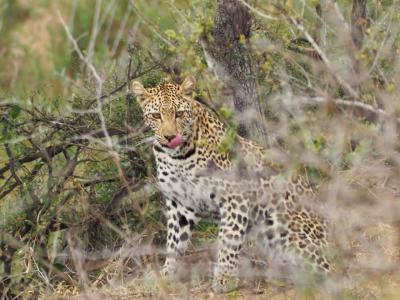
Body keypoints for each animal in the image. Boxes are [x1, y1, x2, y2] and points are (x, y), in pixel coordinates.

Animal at [131, 76, 332, 292]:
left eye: (179, 114)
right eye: (156, 116)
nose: (170, 137)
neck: (177, 156)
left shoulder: (234, 196)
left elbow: (229, 238)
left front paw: (225, 279)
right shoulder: (180, 206)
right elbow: (174, 243)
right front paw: (166, 276)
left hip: (284, 230)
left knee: (328, 268)